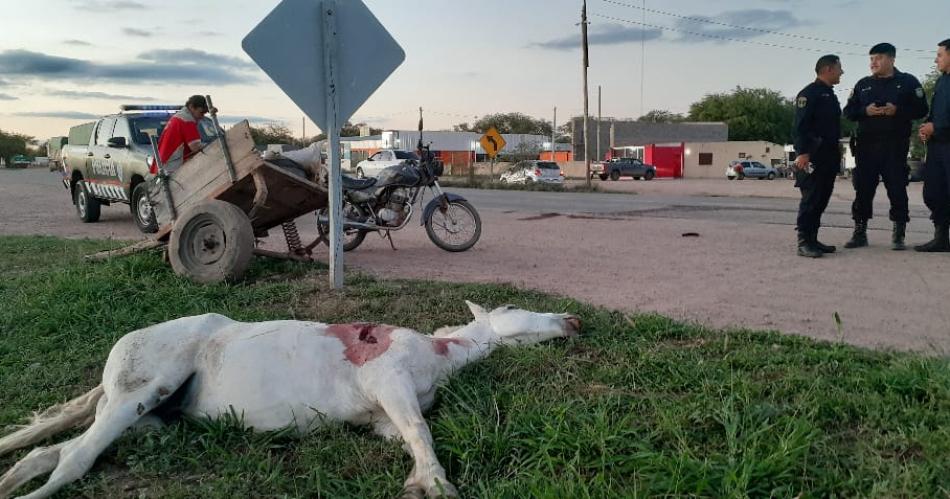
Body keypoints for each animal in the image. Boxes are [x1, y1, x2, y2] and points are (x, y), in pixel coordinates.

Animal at [0, 302, 580, 499]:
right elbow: (422, 433)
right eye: (513, 307)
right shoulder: (389, 383)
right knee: (73, 460)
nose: (574, 320)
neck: (436, 354)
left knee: (50, 452)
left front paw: (418, 482)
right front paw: (437, 486)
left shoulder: (383, 418)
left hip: (143, 419)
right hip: (139, 393)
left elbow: (411, 440)